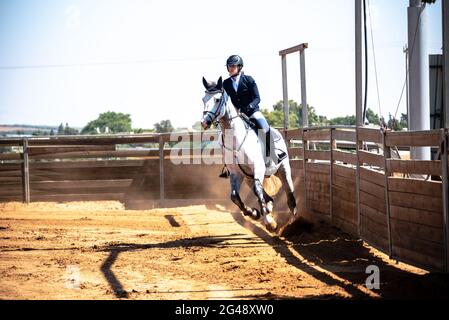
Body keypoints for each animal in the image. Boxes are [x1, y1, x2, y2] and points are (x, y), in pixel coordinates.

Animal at [200, 77, 298, 232]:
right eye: (203, 99)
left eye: (217, 99)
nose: (204, 122)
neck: (236, 138)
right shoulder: (236, 173)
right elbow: (235, 196)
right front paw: (253, 212)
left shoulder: (258, 168)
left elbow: (258, 191)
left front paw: (269, 222)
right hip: (248, 178)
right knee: (264, 194)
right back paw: (269, 208)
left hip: (283, 169)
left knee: (289, 192)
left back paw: (291, 217)